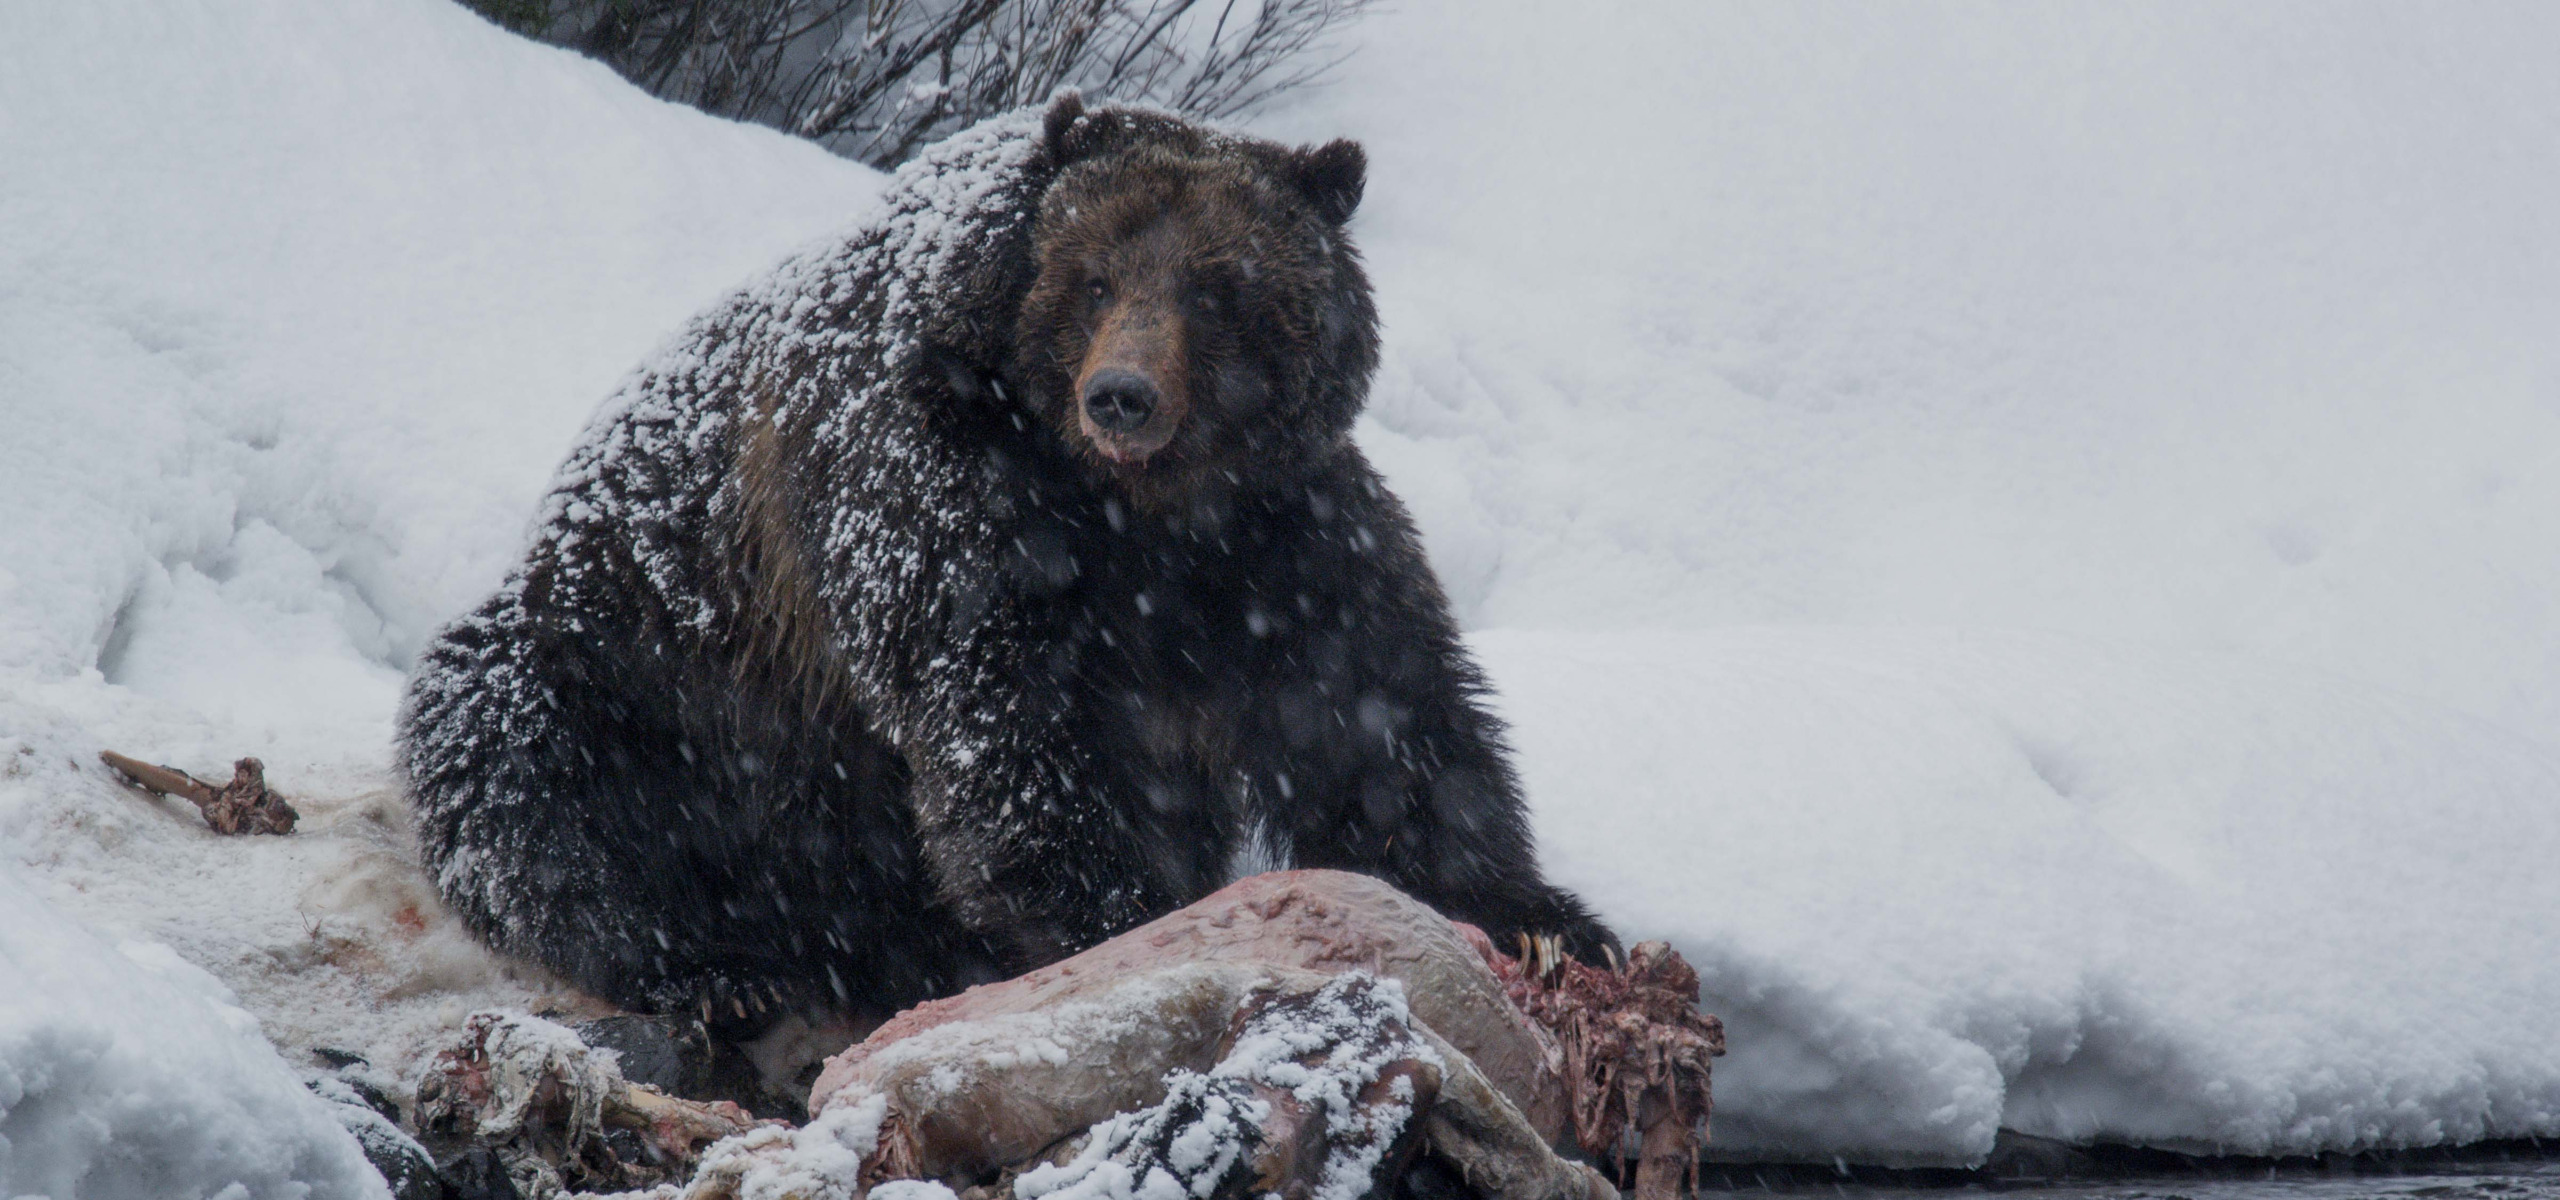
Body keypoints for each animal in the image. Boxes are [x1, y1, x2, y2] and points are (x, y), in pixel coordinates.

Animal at [399, 98, 1607, 1023]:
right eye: (1096, 279)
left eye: (1218, 287)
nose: (1123, 395)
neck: (1137, 515)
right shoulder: (940, 505)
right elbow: (1005, 731)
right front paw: (1130, 919)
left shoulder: (1282, 542)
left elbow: (1385, 728)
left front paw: (1544, 921)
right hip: (631, 679)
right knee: (522, 780)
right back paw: (709, 972)